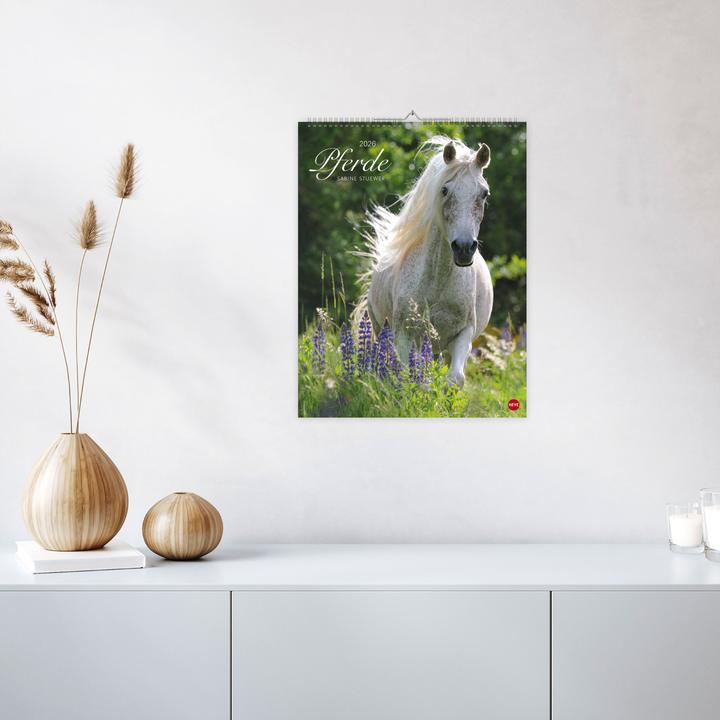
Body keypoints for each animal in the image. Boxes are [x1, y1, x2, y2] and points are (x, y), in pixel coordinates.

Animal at [355, 136, 494, 387]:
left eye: (484, 193)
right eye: (445, 190)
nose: (464, 248)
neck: (437, 282)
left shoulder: (464, 333)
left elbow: (455, 378)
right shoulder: (404, 334)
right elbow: (407, 375)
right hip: (382, 330)